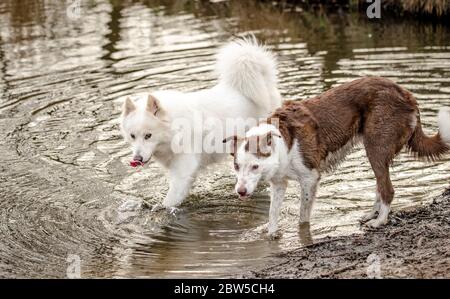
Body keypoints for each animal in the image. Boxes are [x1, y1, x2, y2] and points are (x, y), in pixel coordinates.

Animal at [119, 37, 282, 210]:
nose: (137, 159)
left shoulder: (183, 171)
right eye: (132, 136)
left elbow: (170, 200)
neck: (174, 130)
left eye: (148, 136)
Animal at [224, 77, 450, 239]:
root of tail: (406, 93)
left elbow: (303, 215)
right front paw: (270, 232)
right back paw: (372, 214)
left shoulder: (310, 179)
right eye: (236, 166)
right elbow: (272, 211)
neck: (283, 141)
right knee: (380, 184)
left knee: (387, 189)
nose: (240, 192)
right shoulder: (279, 182)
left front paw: (301, 233)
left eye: (255, 166)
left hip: (375, 147)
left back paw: (380, 221)